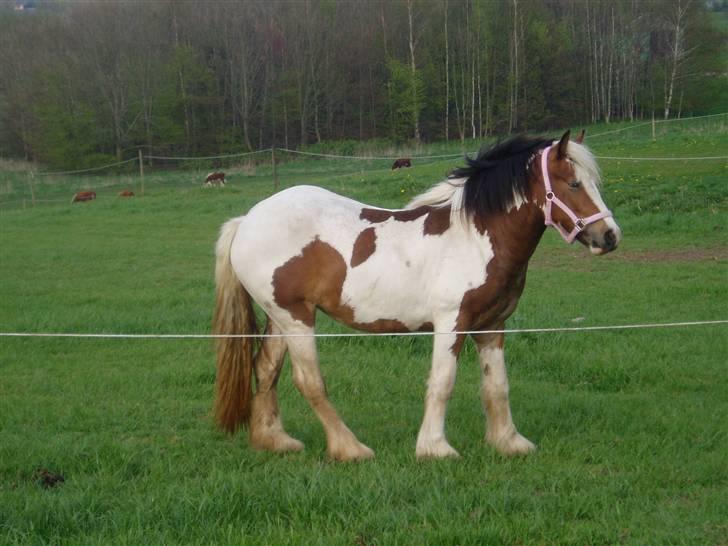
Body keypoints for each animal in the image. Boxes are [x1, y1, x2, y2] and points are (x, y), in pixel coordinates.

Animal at [213, 131, 624, 460]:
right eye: (573, 183)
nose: (610, 236)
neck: (475, 236)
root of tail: (248, 219)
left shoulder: (492, 325)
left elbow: (497, 386)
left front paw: (508, 442)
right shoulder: (451, 323)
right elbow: (442, 383)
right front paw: (434, 448)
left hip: (280, 317)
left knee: (266, 369)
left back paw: (275, 441)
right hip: (296, 317)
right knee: (308, 381)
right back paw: (350, 449)